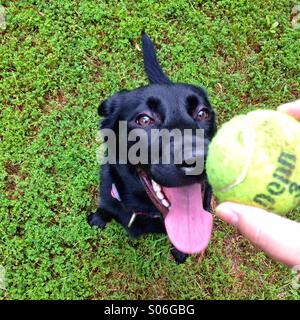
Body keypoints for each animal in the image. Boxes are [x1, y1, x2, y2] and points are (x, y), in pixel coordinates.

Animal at [88, 31, 217, 262]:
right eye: (145, 120)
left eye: (202, 113)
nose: (199, 160)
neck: (144, 210)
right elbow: (104, 210)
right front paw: (97, 219)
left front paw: (180, 252)